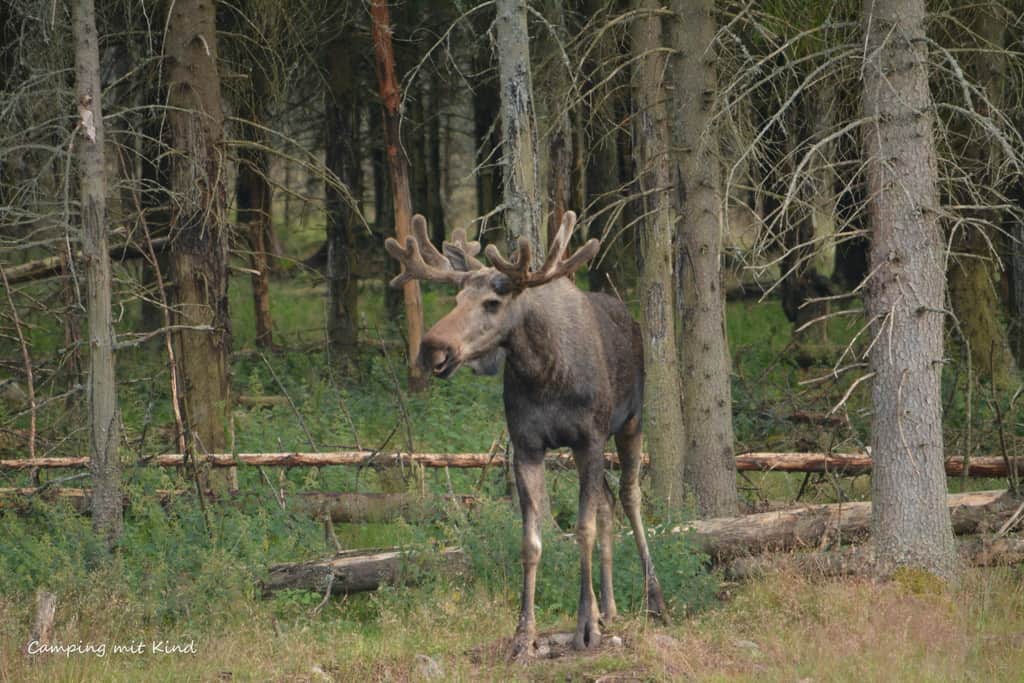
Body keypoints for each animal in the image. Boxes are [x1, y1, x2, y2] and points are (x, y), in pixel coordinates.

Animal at [385, 210, 663, 659]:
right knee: (607, 503)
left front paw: (585, 630)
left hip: (631, 422)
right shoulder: (526, 445)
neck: (543, 373)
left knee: (629, 495)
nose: (431, 348)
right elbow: (531, 542)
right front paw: (524, 634)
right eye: (456, 300)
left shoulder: (589, 438)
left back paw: (653, 598)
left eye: (492, 303)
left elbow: (582, 530)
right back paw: (609, 607)